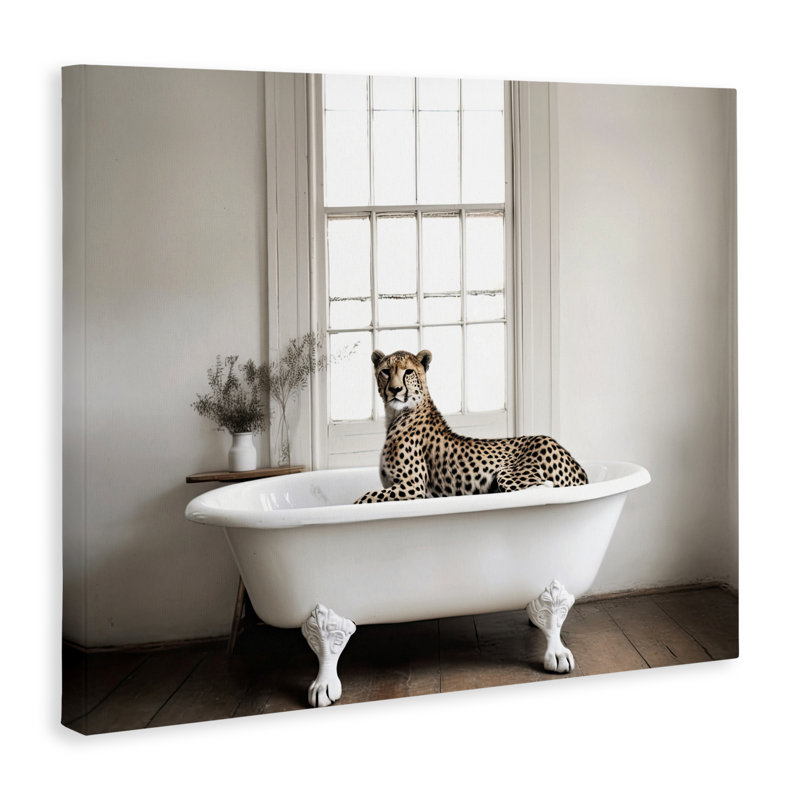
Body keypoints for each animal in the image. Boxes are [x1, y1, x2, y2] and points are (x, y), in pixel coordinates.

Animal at [354, 349, 588, 504]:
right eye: (386, 371)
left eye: (408, 372)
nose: (395, 390)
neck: (397, 413)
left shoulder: (413, 487)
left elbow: (364, 498)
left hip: (510, 473)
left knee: (540, 489)